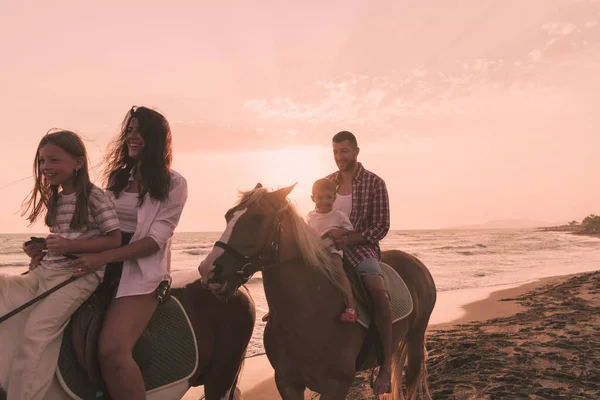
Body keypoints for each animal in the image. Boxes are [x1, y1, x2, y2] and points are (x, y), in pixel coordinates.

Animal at [199, 184, 438, 400]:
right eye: (228, 216)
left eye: (258, 217)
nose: (208, 270)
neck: (308, 313)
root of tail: (417, 263)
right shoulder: (287, 383)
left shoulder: (336, 386)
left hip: (415, 337)